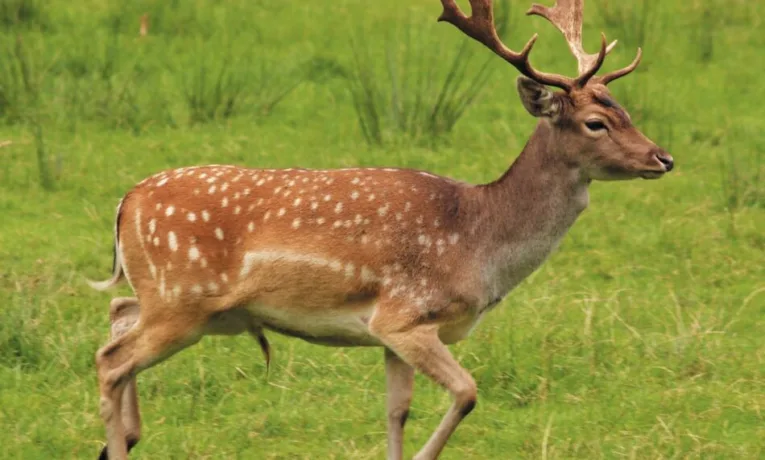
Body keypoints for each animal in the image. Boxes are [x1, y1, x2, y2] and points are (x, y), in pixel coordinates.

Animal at [89, 1, 674, 459]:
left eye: (625, 110)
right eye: (596, 123)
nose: (663, 158)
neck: (479, 243)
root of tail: (125, 201)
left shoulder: (390, 335)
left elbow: (397, 411)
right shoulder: (406, 315)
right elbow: (467, 393)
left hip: (184, 303)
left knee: (118, 313)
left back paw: (129, 435)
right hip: (182, 300)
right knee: (111, 360)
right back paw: (119, 440)